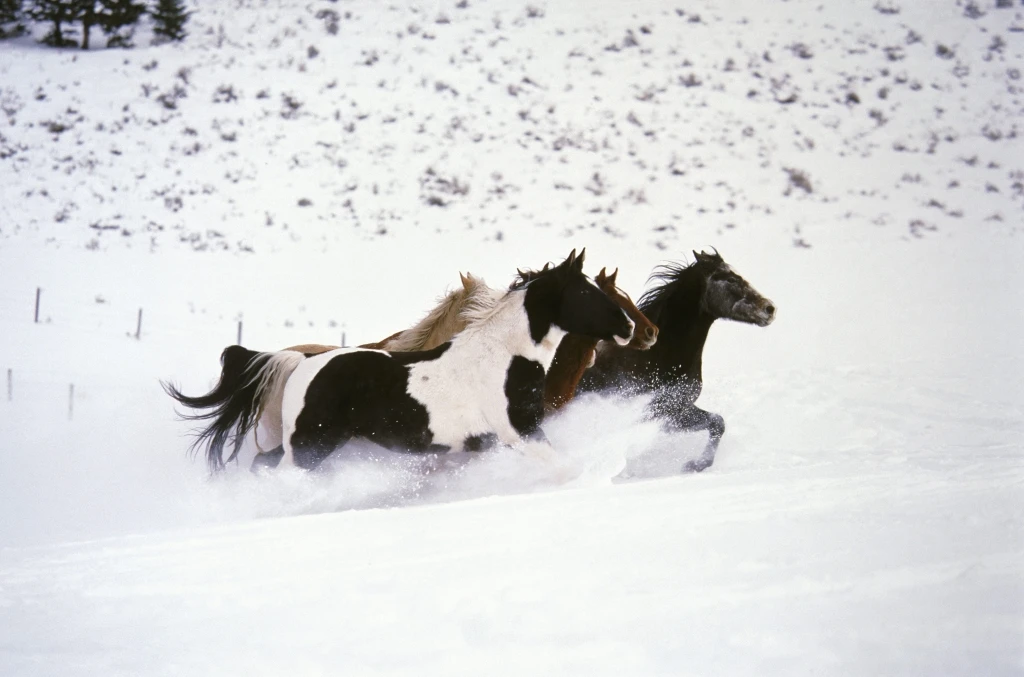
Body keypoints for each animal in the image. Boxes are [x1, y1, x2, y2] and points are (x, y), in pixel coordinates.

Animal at [165, 249, 636, 472]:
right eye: (586, 292)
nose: (630, 327)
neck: (505, 358)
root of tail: (301, 363)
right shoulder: (521, 434)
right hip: (311, 445)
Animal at [577, 249, 775, 473]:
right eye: (731, 278)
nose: (769, 309)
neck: (658, 355)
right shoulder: (662, 413)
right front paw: (697, 464)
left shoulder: (678, 408)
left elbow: (718, 422)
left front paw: (696, 464)